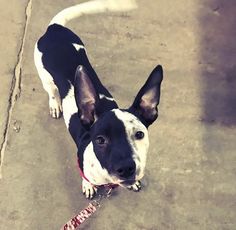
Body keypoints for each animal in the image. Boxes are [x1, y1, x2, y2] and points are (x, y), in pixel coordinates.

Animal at [33, 0, 162, 199]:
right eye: (100, 140)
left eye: (140, 134)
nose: (126, 169)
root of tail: (55, 28)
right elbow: (85, 178)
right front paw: (88, 186)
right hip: (44, 76)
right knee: (52, 92)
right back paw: (55, 104)